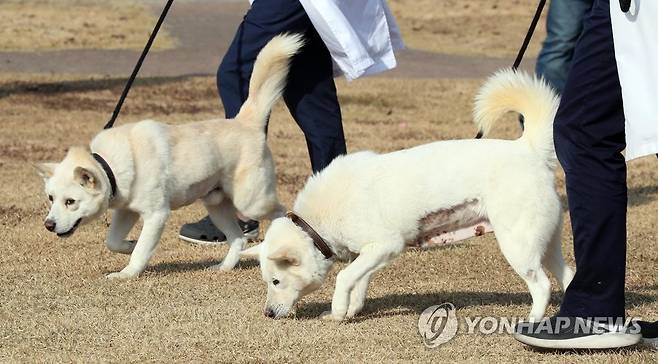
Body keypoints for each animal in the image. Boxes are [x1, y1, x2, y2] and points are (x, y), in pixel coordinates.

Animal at [36, 34, 302, 278]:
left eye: (70, 201)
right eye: (51, 198)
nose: (48, 225)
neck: (109, 165)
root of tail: (245, 122)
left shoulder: (156, 216)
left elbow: (142, 251)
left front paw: (127, 273)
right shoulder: (127, 210)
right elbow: (112, 242)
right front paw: (128, 245)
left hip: (252, 201)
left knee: (281, 212)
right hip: (216, 204)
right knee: (238, 239)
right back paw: (223, 268)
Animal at [242, 70, 576, 322]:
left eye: (275, 281)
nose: (267, 314)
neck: (317, 224)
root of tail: (527, 148)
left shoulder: (386, 245)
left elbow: (344, 278)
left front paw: (337, 312)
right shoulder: (370, 253)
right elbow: (358, 281)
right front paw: (351, 311)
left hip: (518, 246)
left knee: (542, 285)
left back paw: (532, 321)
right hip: (545, 243)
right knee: (569, 275)